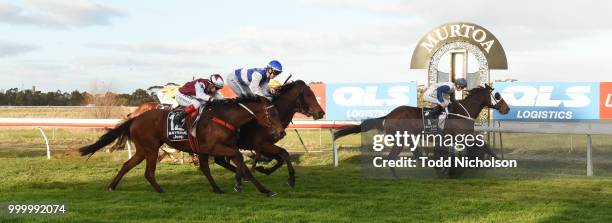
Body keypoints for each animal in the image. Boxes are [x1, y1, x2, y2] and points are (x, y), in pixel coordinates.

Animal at [78, 96, 284, 196]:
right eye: (273, 113)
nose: (281, 132)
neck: (225, 118)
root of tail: (135, 118)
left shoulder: (210, 150)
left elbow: (235, 165)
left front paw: (264, 189)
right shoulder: (213, 148)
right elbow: (238, 158)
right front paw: (238, 184)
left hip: (143, 150)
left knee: (127, 165)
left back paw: (112, 186)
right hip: (151, 149)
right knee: (148, 172)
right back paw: (160, 190)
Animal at [334, 84, 512, 179]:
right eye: (497, 95)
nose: (507, 108)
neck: (463, 111)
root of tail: (389, 115)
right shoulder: (465, 136)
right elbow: (484, 145)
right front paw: (501, 162)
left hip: (409, 139)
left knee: (417, 155)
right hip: (402, 139)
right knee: (395, 158)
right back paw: (398, 177)